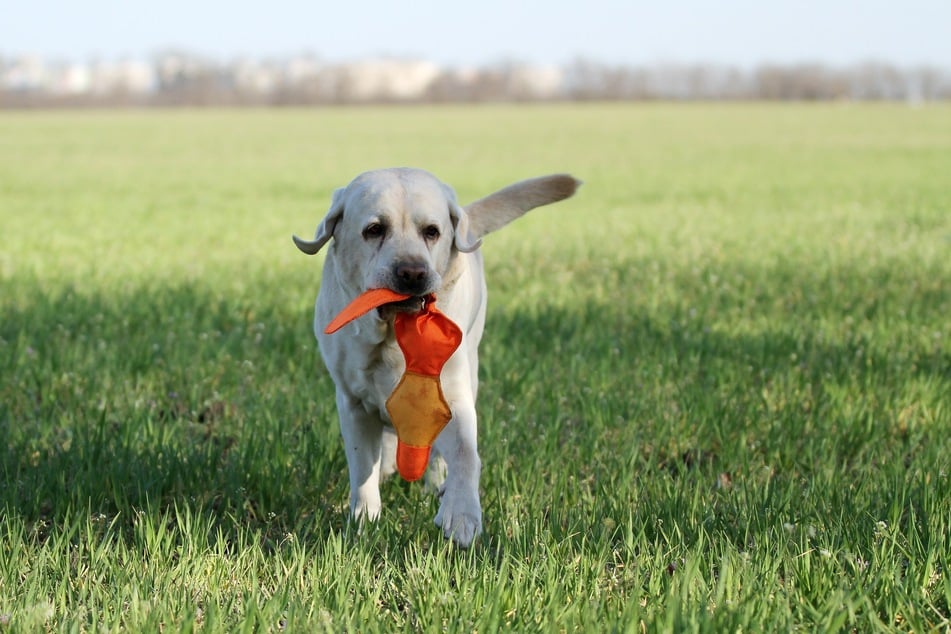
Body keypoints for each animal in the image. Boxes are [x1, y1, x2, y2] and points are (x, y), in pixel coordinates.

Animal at [294, 167, 580, 544]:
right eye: (374, 229)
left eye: (432, 231)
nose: (412, 273)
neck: (394, 336)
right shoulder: (352, 403)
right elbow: (362, 467)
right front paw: (363, 521)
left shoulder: (451, 397)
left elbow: (464, 453)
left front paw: (461, 515)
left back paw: (436, 487)